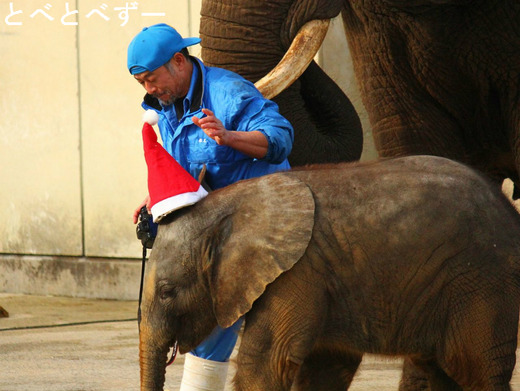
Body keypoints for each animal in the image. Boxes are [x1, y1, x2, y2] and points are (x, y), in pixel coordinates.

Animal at [138, 156, 520, 391]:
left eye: (168, 292)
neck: (232, 205)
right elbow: (326, 367)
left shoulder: (297, 272)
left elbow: (266, 363)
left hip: (482, 280)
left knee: (476, 366)